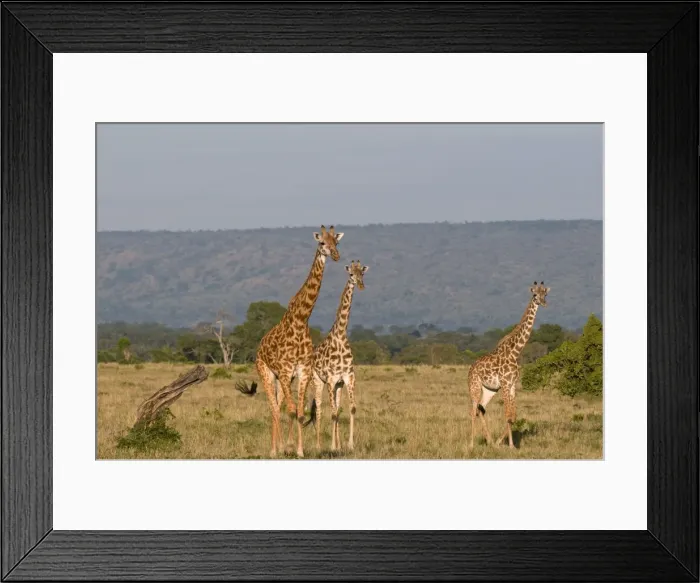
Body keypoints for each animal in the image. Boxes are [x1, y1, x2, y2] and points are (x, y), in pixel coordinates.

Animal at [235, 225, 343, 457]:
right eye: (322, 243)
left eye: (337, 242)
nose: (336, 255)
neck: (301, 320)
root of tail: (259, 347)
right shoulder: (285, 371)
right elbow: (292, 411)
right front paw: (290, 448)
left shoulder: (302, 372)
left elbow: (300, 412)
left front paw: (299, 450)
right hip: (267, 373)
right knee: (274, 409)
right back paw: (274, 450)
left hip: (282, 380)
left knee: (279, 406)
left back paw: (278, 446)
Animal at [304, 260, 369, 451]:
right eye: (351, 274)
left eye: (362, 273)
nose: (360, 285)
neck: (340, 335)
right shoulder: (331, 379)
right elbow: (332, 413)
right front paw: (332, 446)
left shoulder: (348, 377)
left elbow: (350, 409)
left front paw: (349, 444)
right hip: (318, 382)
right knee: (319, 410)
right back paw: (319, 445)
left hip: (338, 385)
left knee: (337, 408)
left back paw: (338, 444)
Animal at [467, 281, 550, 449]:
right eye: (535, 295)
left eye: (545, 293)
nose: (544, 303)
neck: (515, 352)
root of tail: (470, 370)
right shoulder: (505, 384)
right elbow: (507, 414)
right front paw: (508, 444)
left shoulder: (512, 385)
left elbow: (513, 415)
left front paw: (506, 443)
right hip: (475, 387)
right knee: (473, 411)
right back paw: (471, 444)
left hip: (490, 390)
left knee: (481, 409)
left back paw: (490, 441)